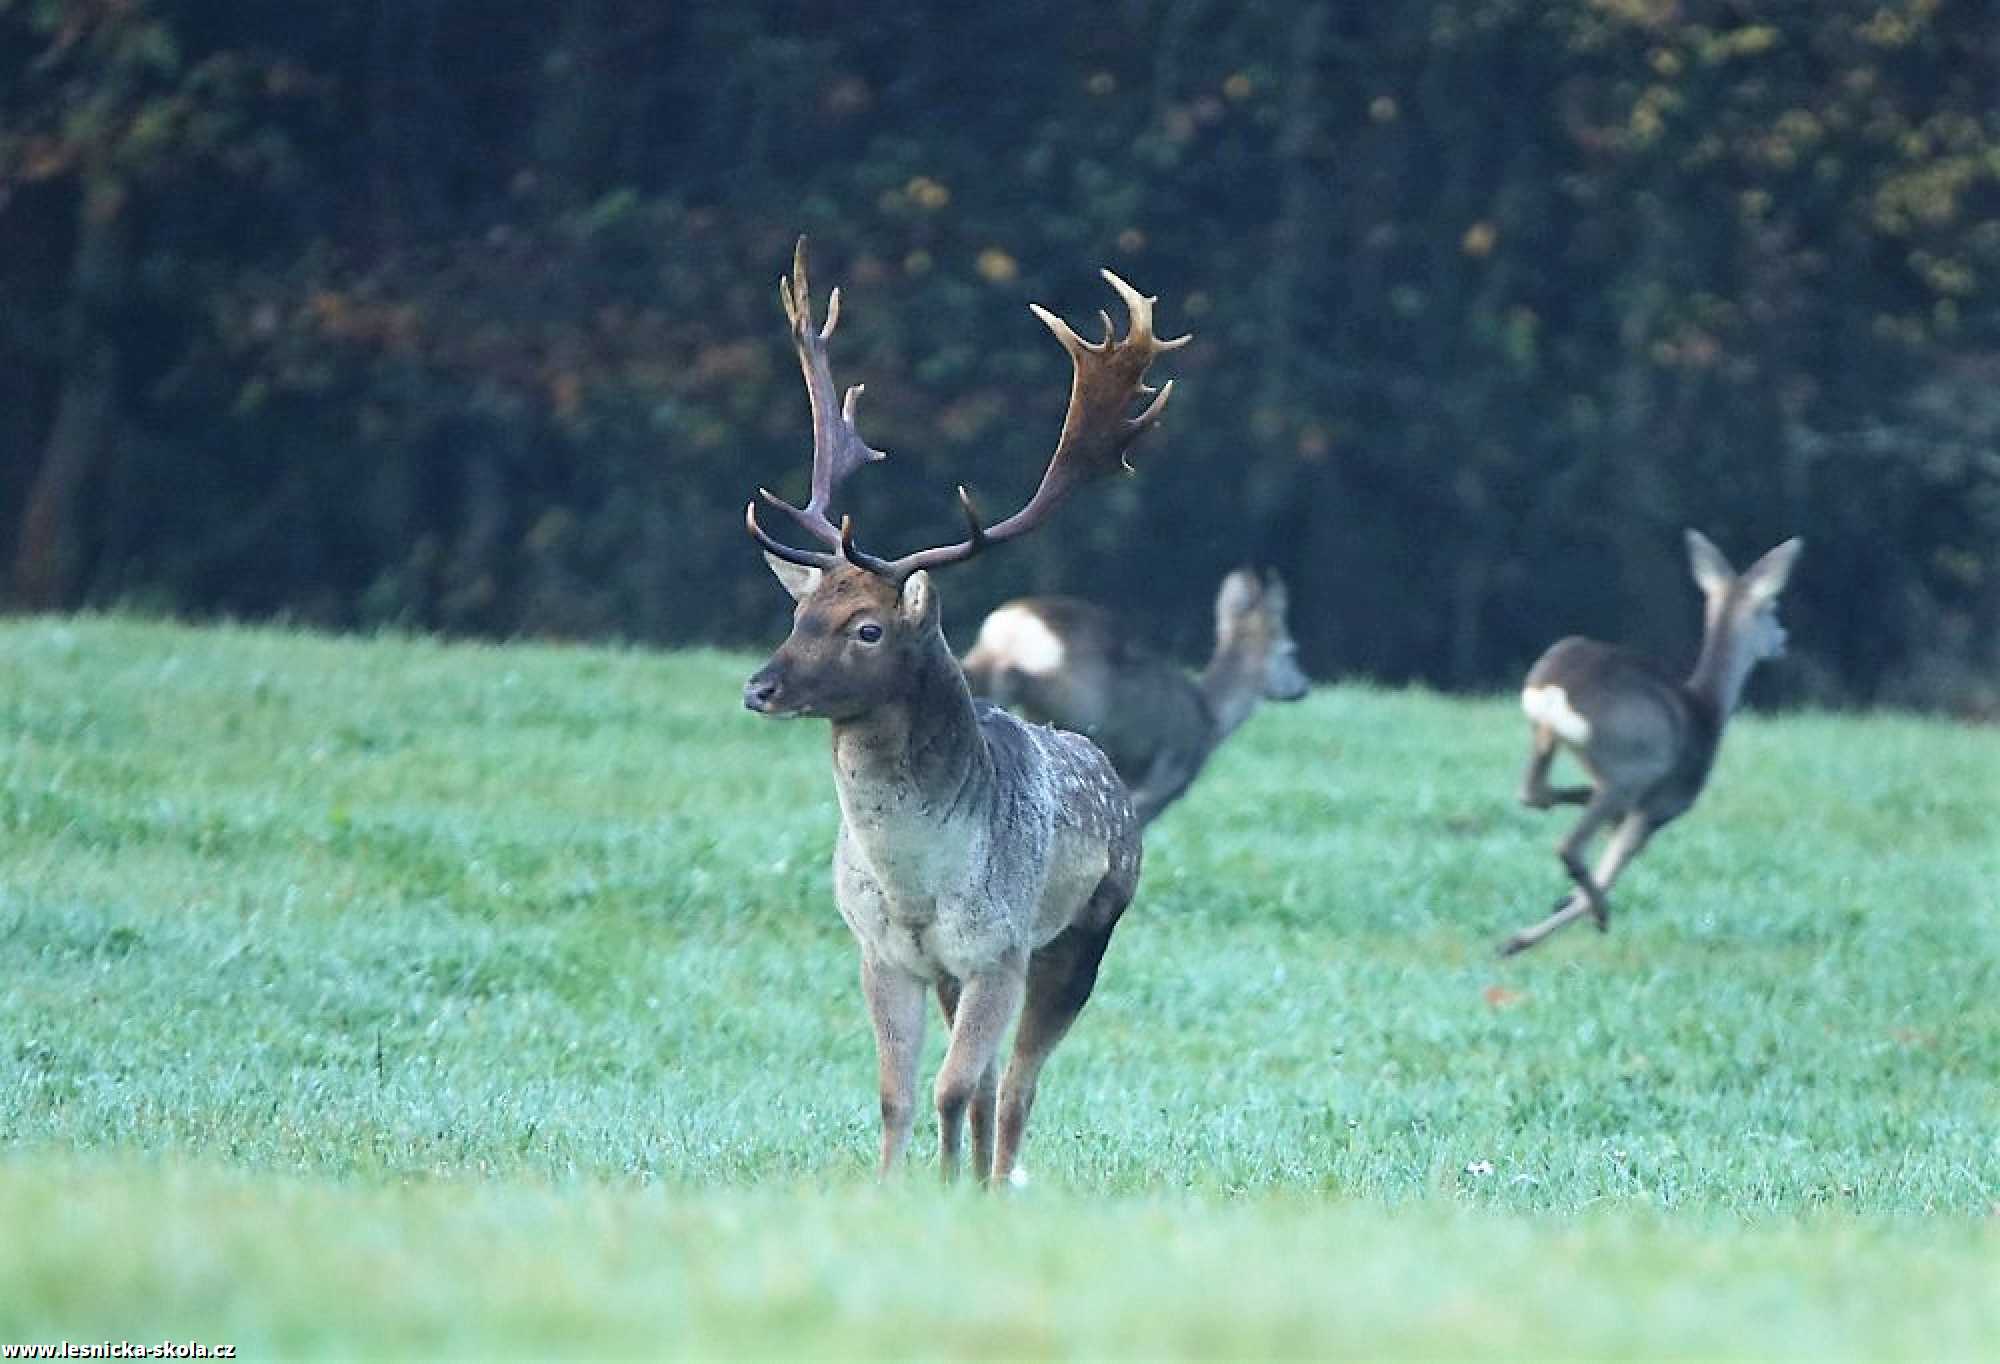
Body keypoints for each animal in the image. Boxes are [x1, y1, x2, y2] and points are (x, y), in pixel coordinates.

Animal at [748, 239, 1184, 1176]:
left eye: (868, 628)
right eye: (798, 614)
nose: (759, 686)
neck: (916, 885)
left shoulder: (998, 949)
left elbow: (955, 1088)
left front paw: (950, 1192)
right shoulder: (883, 952)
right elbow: (900, 1093)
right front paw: (891, 1189)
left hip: (1081, 935)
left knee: (1014, 1089)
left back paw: (999, 1178)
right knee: (988, 1087)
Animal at [956, 568, 1312, 824]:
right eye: (1291, 651)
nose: (1303, 688)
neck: (1208, 716)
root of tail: (1013, 621)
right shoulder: (1163, 778)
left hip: (993, 659)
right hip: (1075, 698)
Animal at [1504, 524, 1816, 952]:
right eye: (1772, 608)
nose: (1783, 639)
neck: (1708, 709)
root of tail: (1554, 688)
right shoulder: (1664, 806)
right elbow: (1611, 869)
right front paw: (1542, 927)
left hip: (1545, 737)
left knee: (1533, 793)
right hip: (1634, 764)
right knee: (1571, 845)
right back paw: (1584, 917)